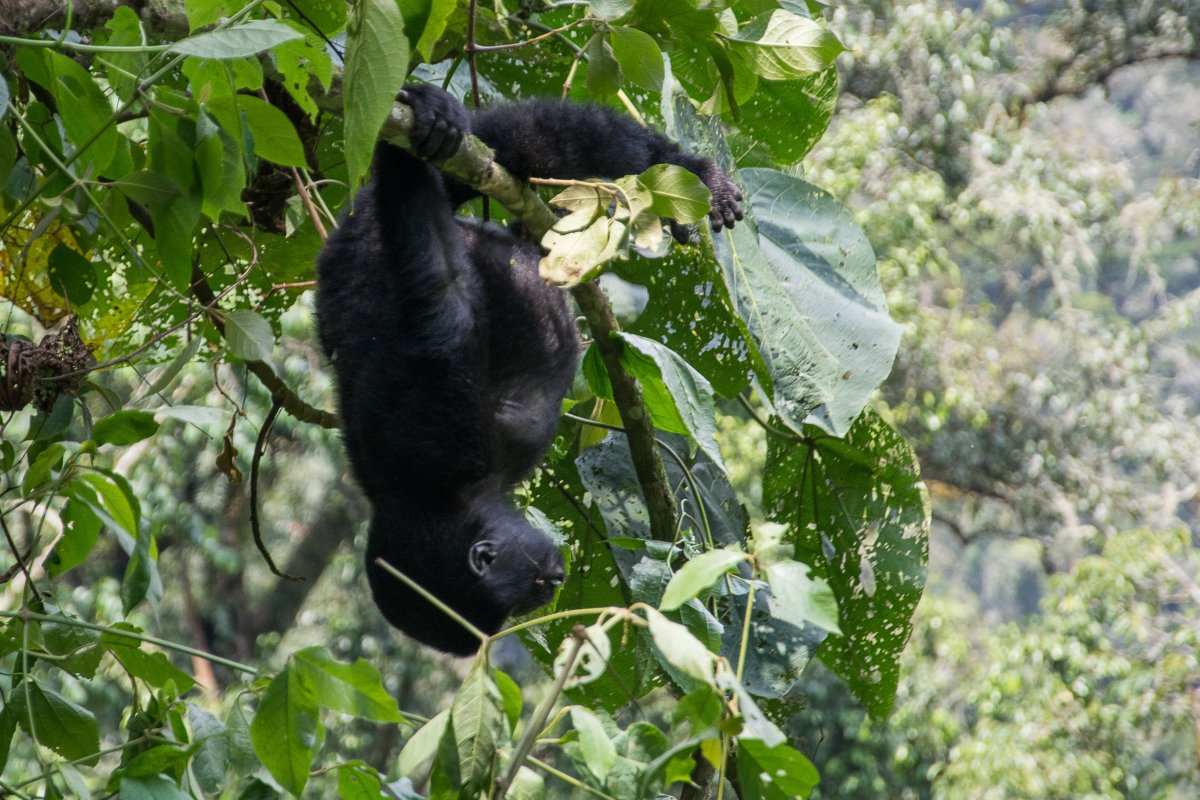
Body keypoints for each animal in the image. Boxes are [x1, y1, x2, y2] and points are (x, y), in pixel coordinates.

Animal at [312, 84, 739, 652]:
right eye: (522, 602)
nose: (555, 580)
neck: (437, 495)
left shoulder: (446, 442)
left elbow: (440, 293)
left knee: (531, 141)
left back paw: (692, 173)